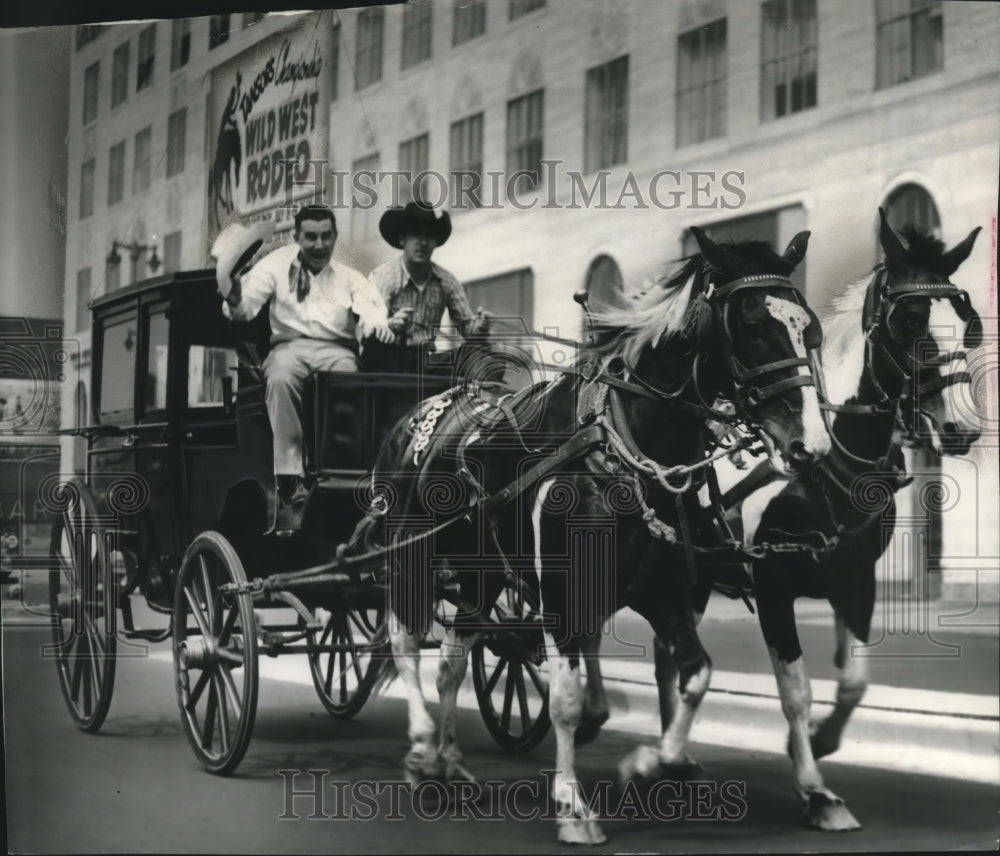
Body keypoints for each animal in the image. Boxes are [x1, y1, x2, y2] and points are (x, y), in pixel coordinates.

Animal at [364, 227, 832, 844]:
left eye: (809, 327)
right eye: (752, 325)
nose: (810, 445)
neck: (623, 446)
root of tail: (422, 412)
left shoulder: (662, 587)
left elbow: (696, 673)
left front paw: (654, 764)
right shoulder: (564, 591)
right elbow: (564, 699)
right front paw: (572, 803)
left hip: (479, 574)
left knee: (452, 660)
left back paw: (449, 763)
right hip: (411, 555)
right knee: (405, 640)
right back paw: (422, 746)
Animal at [652, 211, 980, 832]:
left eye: (968, 322)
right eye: (910, 319)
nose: (963, 427)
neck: (824, 467)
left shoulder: (855, 579)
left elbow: (852, 682)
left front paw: (823, 741)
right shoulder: (773, 586)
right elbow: (796, 692)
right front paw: (815, 790)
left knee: (667, 660)